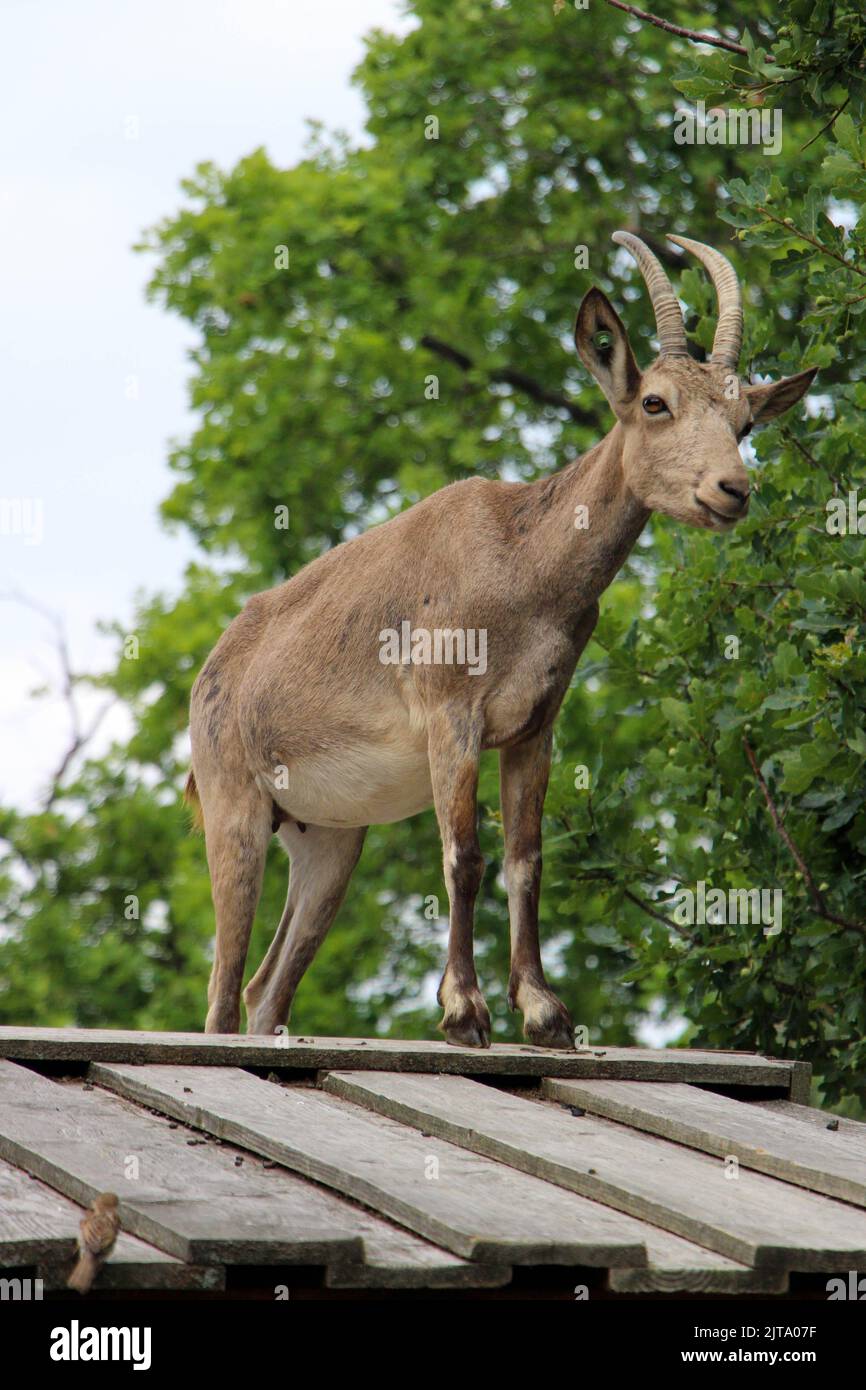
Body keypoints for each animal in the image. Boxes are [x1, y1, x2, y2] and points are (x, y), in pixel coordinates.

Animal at [186, 231, 816, 1047]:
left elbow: (526, 859)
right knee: (222, 994)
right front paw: (464, 1011)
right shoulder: (451, 717)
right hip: (234, 807)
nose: (731, 491)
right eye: (655, 402)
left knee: (266, 990)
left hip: (326, 837)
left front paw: (544, 1012)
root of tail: (212, 672)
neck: (524, 564)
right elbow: (466, 856)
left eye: (744, 422)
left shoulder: (532, 728)